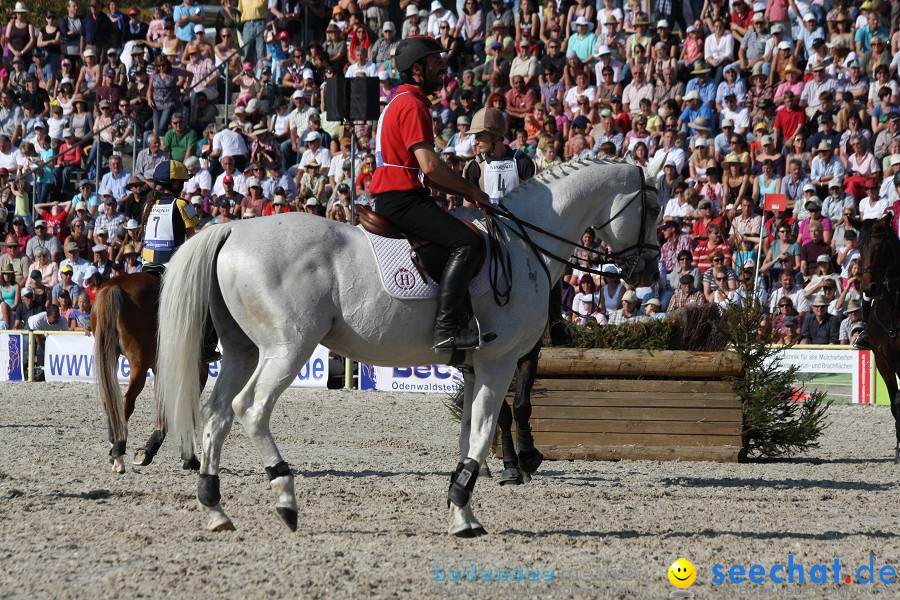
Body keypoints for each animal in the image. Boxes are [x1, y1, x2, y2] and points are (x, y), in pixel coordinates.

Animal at [92, 272, 201, 474]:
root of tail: (115, 286)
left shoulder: (161, 370)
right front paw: (189, 457)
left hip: (110, 354)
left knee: (109, 401)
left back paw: (113, 447)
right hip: (139, 366)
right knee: (126, 402)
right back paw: (118, 454)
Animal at [156, 155, 660, 536]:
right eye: (654, 209)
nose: (649, 271)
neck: (524, 245)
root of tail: (233, 230)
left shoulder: (474, 367)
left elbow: (469, 435)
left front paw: (460, 507)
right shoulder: (498, 363)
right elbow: (482, 433)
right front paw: (466, 512)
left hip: (241, 351)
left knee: (218, 412)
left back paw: (215, 508)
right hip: (287, 349)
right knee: (250, 408)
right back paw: (284, 497)